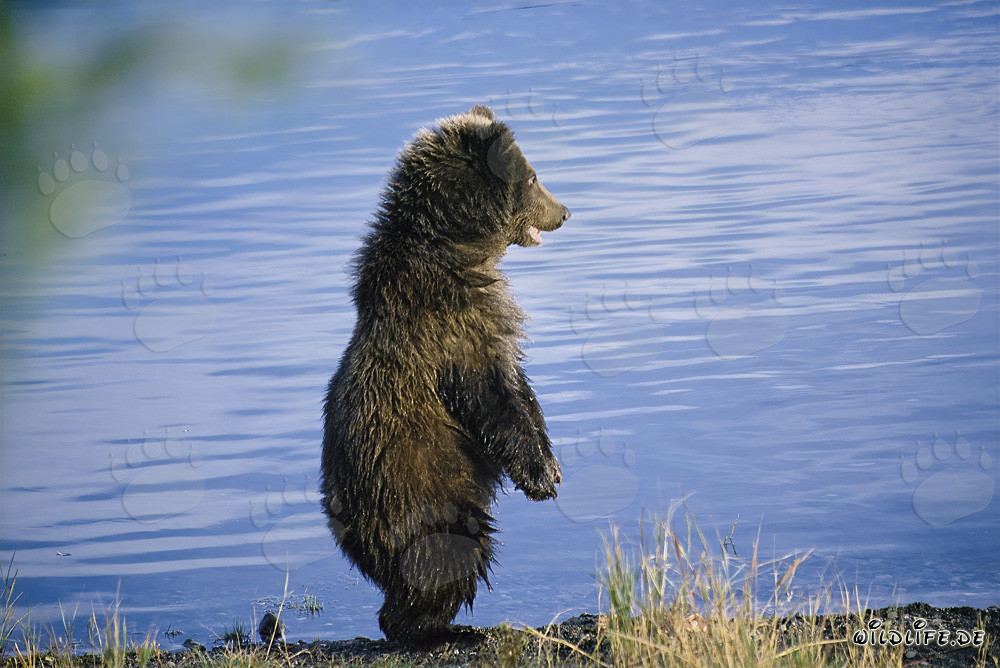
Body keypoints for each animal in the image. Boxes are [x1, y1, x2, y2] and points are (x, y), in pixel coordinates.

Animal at [320, 104, 570, 647]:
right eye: (533, 178)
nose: (564, 211)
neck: (457, 248)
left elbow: (519, 383)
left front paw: (553, 461)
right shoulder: (453, 325)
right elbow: (491, 396)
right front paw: (540, 476)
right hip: (421, 490)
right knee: (447, 554)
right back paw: (440, 630)